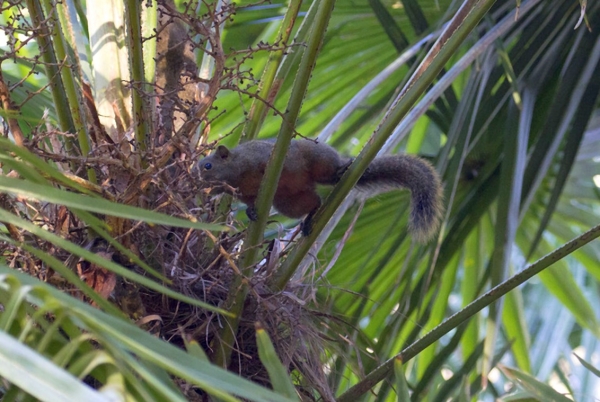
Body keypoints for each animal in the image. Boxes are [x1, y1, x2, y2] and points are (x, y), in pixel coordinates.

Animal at [196, 140, 440, 240]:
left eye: (208, 166)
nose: (196, 180)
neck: (238, 173)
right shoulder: (244, 193)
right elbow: (249, 202)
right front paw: (250, 212)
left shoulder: (257, 156)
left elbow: (267, 162)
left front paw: (270, 169)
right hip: (289, 201)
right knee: (315, 203)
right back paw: (308, 219)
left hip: (318, 160)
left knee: (329, 175)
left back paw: (341, 170)